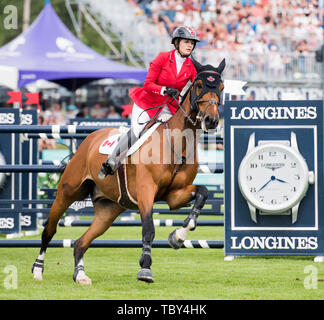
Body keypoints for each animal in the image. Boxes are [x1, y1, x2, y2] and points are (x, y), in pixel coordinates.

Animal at [32, 58, 225, 284]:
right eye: (199, 85)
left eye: (222, 87)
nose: (211, 120)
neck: (178, 143)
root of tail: (89, 139)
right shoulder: (145, 191)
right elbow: (149, 228)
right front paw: (145, 268)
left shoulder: (174, 195)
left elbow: (203, 192)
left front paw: (178, 236)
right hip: (67, 192)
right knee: (49, 229)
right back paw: (37, 270)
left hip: (108, 210)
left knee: (81, 242)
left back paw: (80, 275)